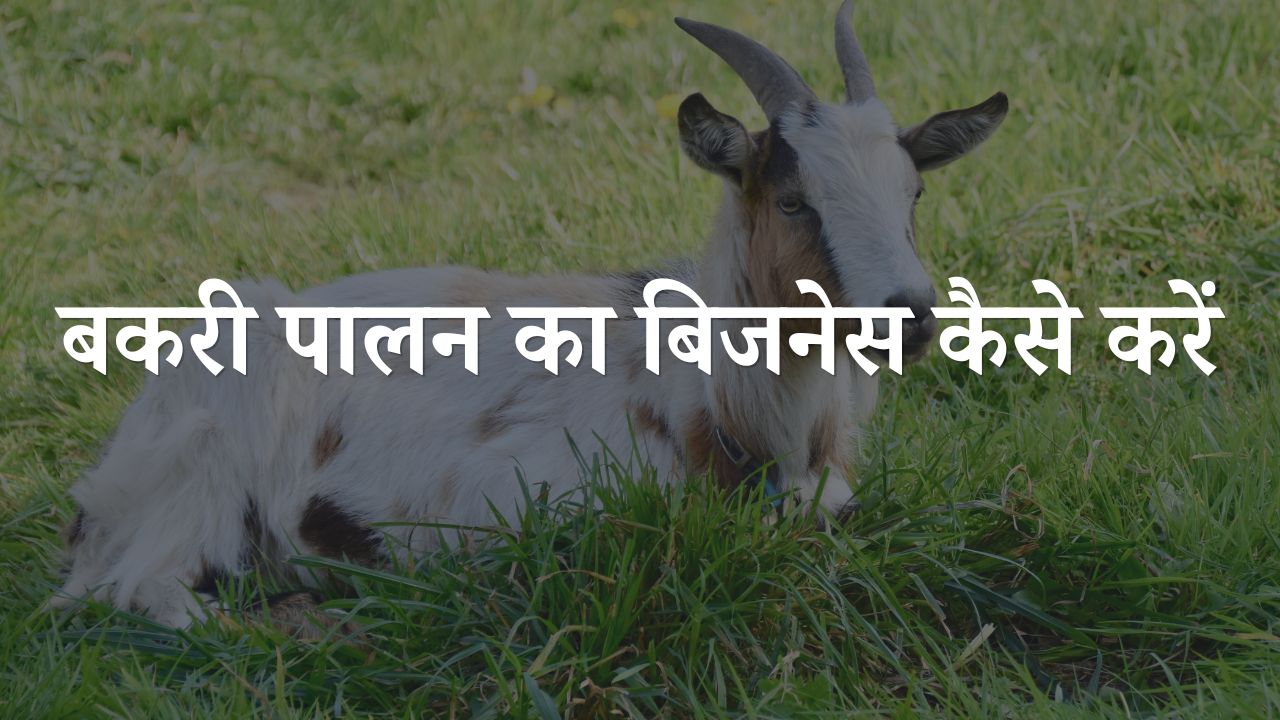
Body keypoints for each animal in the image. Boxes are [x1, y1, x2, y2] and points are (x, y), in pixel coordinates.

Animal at [53, 1, 1007, 627]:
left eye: (914, 193)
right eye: (794, 200)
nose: (912, 316)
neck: (721, 406)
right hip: (207, 466)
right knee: (144, 590)